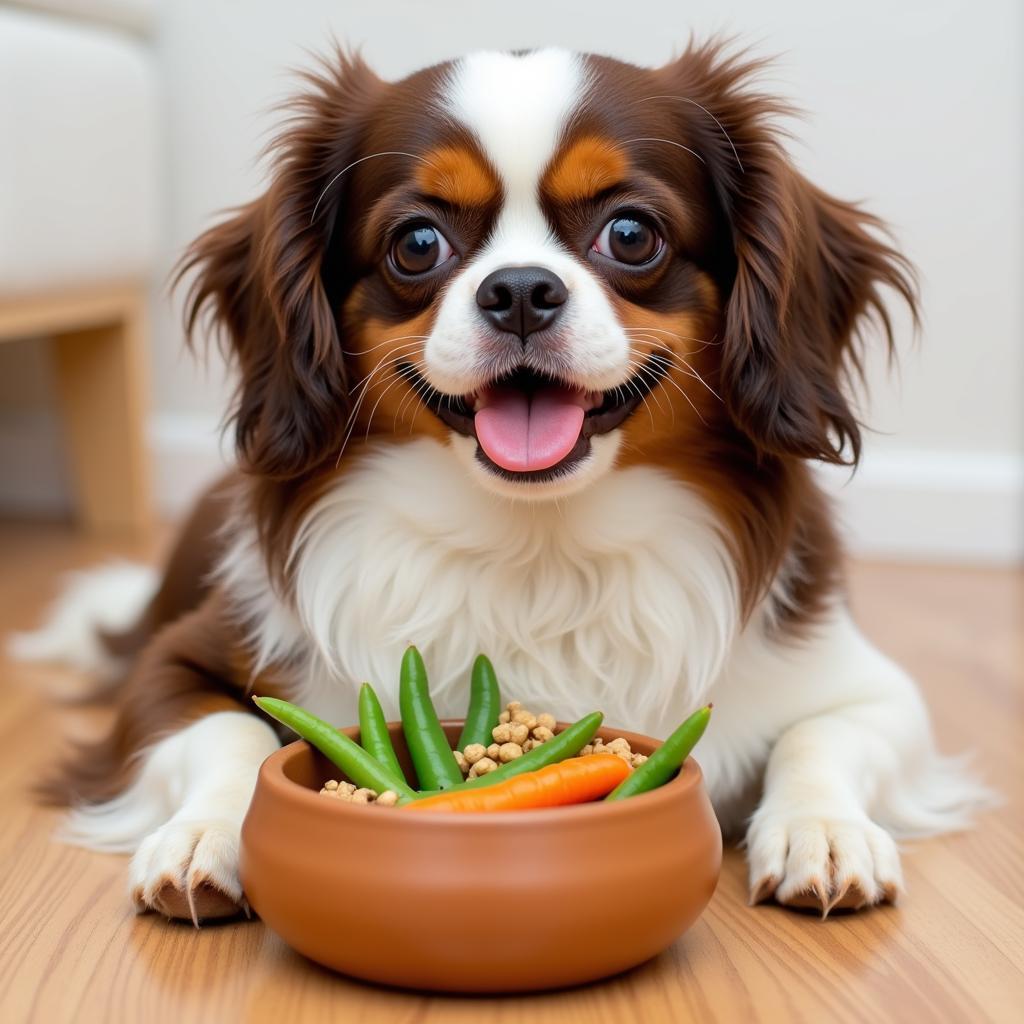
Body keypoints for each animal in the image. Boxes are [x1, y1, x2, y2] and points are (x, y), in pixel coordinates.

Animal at [14, 44, 991, 925]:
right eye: (417, 243)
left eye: (631, 233)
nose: (520, 289)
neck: (537, 543)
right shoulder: (179, 661)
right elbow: (229, 727)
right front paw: (206, 834)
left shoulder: (859, 681)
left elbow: (822, 733)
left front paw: (822, 832)